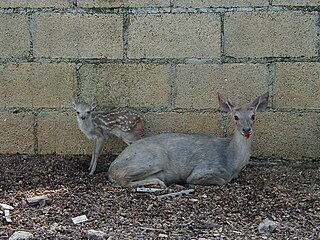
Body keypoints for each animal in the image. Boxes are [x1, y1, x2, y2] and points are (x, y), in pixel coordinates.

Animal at [107, 92, 268, 188]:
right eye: (235, 117)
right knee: (123, 179)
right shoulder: (203, 169)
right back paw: (160, 183)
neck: (231, 162)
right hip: (154, 158)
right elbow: (221, 181)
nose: (246, 130)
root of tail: (111, 169)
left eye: (253, 116)